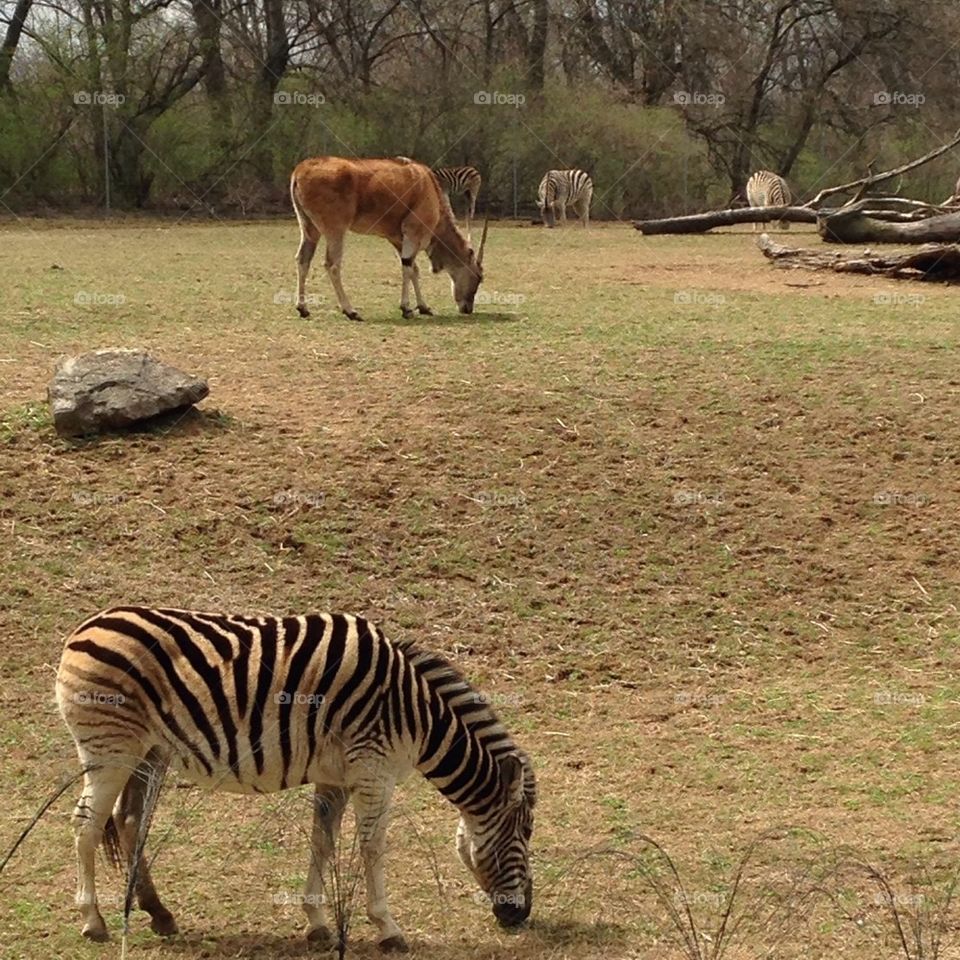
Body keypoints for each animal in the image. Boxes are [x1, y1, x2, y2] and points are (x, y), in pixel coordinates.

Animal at [56, 606, 536, 949]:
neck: (417, 714)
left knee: (129, 820)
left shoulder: (336, 775)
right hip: (109, 748)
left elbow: (322, 841)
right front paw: (387, 927)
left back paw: (158, 913)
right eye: (525, 833)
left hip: (149, 751)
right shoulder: (374, 769)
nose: (521, 916)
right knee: (86, 824)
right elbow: (373, 847)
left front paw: (317, 924)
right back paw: (93, 921)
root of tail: (84, 628)